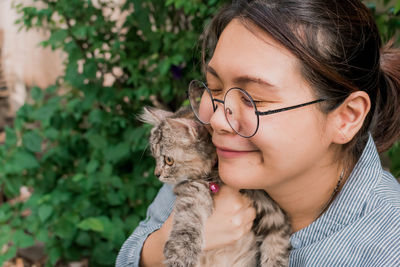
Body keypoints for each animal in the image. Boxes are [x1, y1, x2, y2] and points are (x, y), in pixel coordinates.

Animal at [140, 105, 290, 266]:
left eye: (168, 160)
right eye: (155, 157)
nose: (157, 174)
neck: (217, 174)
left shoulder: (269, 205)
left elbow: (277, 243)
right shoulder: (192, 191)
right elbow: (188, 224)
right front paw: (181, 255)